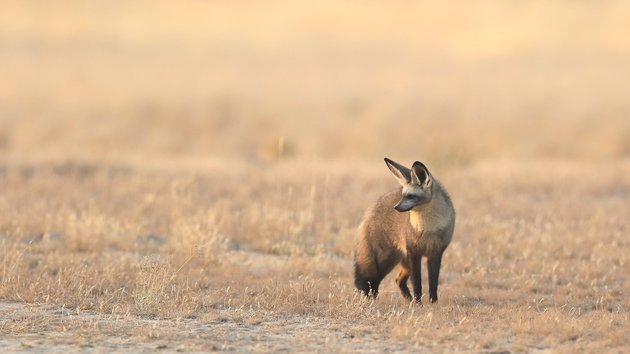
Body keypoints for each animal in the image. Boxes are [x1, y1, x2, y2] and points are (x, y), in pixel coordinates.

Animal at [354, 159, 456, 302]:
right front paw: (419, 303)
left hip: (404, 262)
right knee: (373, 281)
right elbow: (417, 284)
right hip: (387, 259)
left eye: (411, 196)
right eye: (403, 196)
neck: (429, 228)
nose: (396, 207)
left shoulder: (435, 254)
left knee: (398, 280)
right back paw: (373, 300)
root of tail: (372, 208)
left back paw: (408, 299)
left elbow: (433, 284)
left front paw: (432, 303)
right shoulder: (414, 253)